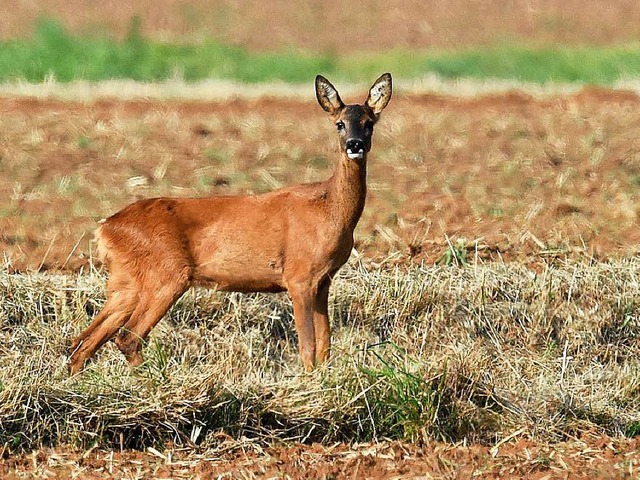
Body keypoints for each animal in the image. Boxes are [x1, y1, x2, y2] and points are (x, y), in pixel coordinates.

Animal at [67, 74, 392, 376]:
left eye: (369, 123)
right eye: (339, 124)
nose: (354, 145)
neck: (329, 209)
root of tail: (105, 228)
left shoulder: (324, 280)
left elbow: (325, 343)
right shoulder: (299, 275)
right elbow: (308, 344)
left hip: (126, 282)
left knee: (83, 342)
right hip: (167, 274)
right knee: (127, 337)